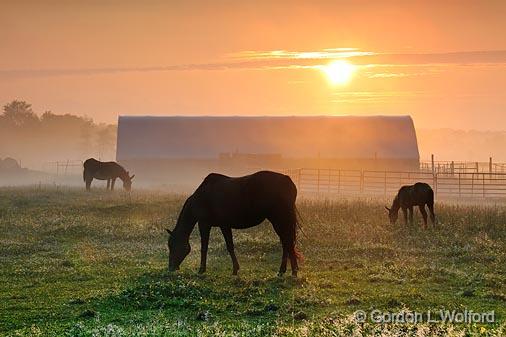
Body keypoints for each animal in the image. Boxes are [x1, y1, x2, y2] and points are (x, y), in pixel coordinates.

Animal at [166, 171, 302, 276]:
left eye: (172, 245)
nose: (170, 267)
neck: (203, 197)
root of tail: (287, 179)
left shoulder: (207, 225)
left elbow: (208, 247)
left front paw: (202, 270)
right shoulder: (222, 225)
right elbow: (229, 246)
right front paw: (235, 269)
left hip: (279, 219)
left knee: (287, 243)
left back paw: (293, 271)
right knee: (286, 243)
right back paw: (283, 270)